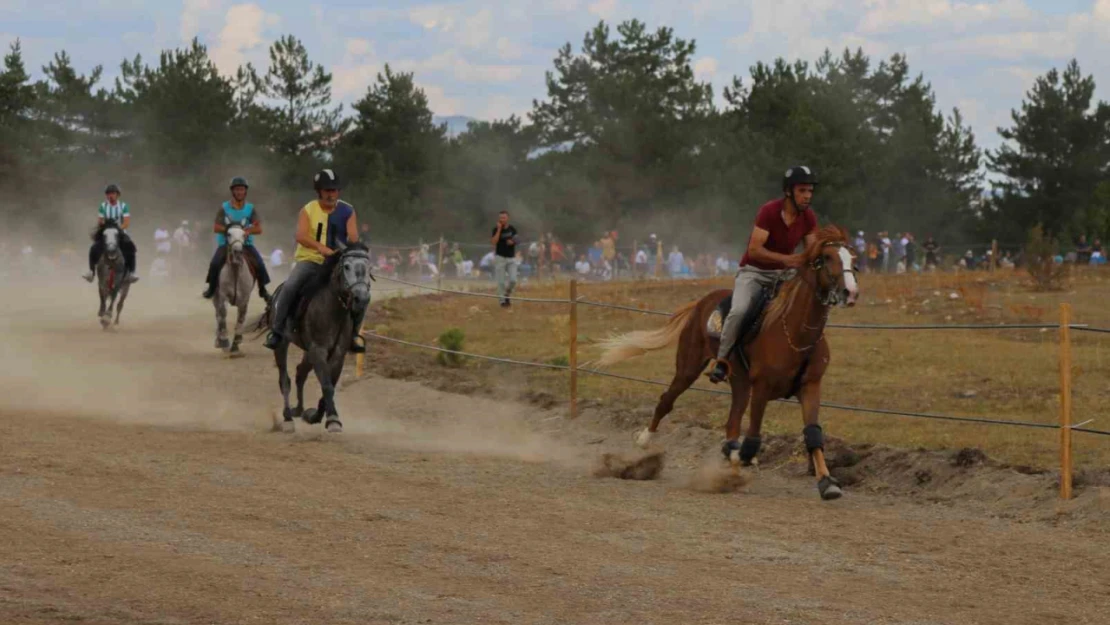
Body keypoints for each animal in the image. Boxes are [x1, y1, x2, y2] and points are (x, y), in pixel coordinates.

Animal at [213, 224, 256, 357]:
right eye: (228, 234)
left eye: (244, 234)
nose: (237, 252)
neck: (236, 271)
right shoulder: (222, 296)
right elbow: (222, 314)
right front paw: (224, 342)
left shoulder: (245, 299)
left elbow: (241, 319)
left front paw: (236, 346)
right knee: (218, 315)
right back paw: (218, 340)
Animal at [251, 240, 372, 435]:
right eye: (346, 266)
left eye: (369, 268)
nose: (362, 298)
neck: (333, 309)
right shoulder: (318, 350)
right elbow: (327, 385)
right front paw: (333, 419)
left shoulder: (337, 354)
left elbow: (329, 385)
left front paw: (315, 415)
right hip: (282, 345)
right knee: (285, 380)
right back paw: (287, 418)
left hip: (307, 351)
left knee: (300, 373)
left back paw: (300, 410)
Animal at [599, 225, 856, 499]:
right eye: (827, 257)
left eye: (852, 258)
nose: (850, 292)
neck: (795, 333)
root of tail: (701, 303)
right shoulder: (762, 388)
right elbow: (752, 438)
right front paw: (738, 455)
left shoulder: (810, 386)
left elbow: (813, 434)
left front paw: (827, 482)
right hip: (689, 367)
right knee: (667, 401)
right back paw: (645, 441)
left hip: (739, 382)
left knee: (732, 422)